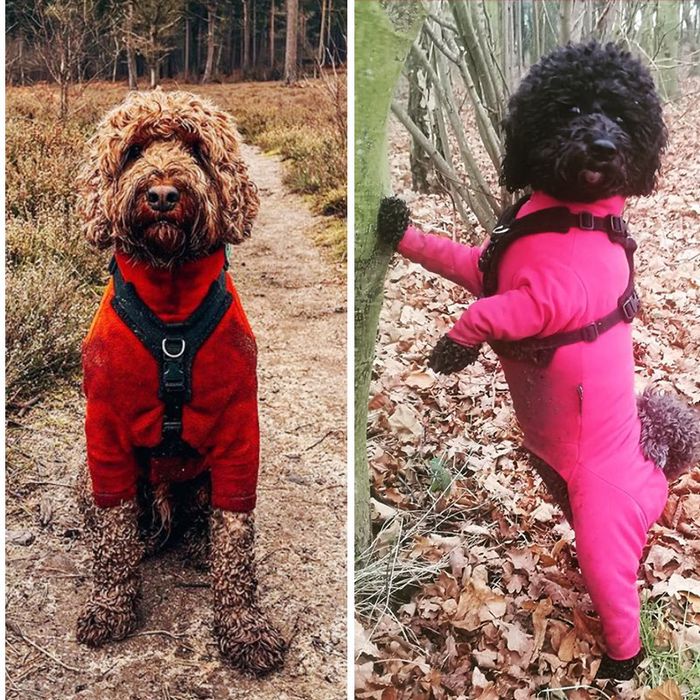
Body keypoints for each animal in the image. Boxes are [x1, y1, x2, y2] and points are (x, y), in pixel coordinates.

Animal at [74, 90, 288, 676]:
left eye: (196, 149)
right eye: (133, 151)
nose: (164, 194)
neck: (170, 307)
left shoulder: (239, 431)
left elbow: (236, 542)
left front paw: (243, 627)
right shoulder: (105, 432)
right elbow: (114, 534)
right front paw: (111, 605)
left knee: (202, 522)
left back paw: (197, 543)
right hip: (84, 473)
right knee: (114, 522)